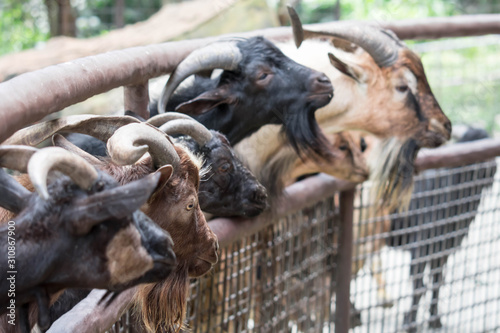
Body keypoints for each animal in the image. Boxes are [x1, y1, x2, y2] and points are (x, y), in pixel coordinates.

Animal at [386, 126, 496, 330]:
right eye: (470, 147)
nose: (488, 167)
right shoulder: (420, 249)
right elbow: (419, 286)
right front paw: (409, 322)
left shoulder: (443, 250)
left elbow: (437, 283)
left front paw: (435, 320)